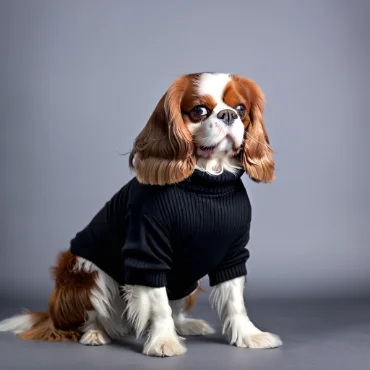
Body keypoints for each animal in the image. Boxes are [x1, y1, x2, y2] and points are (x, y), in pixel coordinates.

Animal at [0, 71, 282, 356]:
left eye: (241, 109)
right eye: (199, 111)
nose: (228, 115)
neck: (206, 181)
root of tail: (52, 315)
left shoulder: (232, 254)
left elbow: (235, 302)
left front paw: (249, 335)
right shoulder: (147, 254)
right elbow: (159, 305)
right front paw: (164, 341)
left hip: (186, 285)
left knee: (175, 307)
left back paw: (185, 325)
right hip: (86, 273)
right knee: (90, 316)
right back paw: (95, 333)